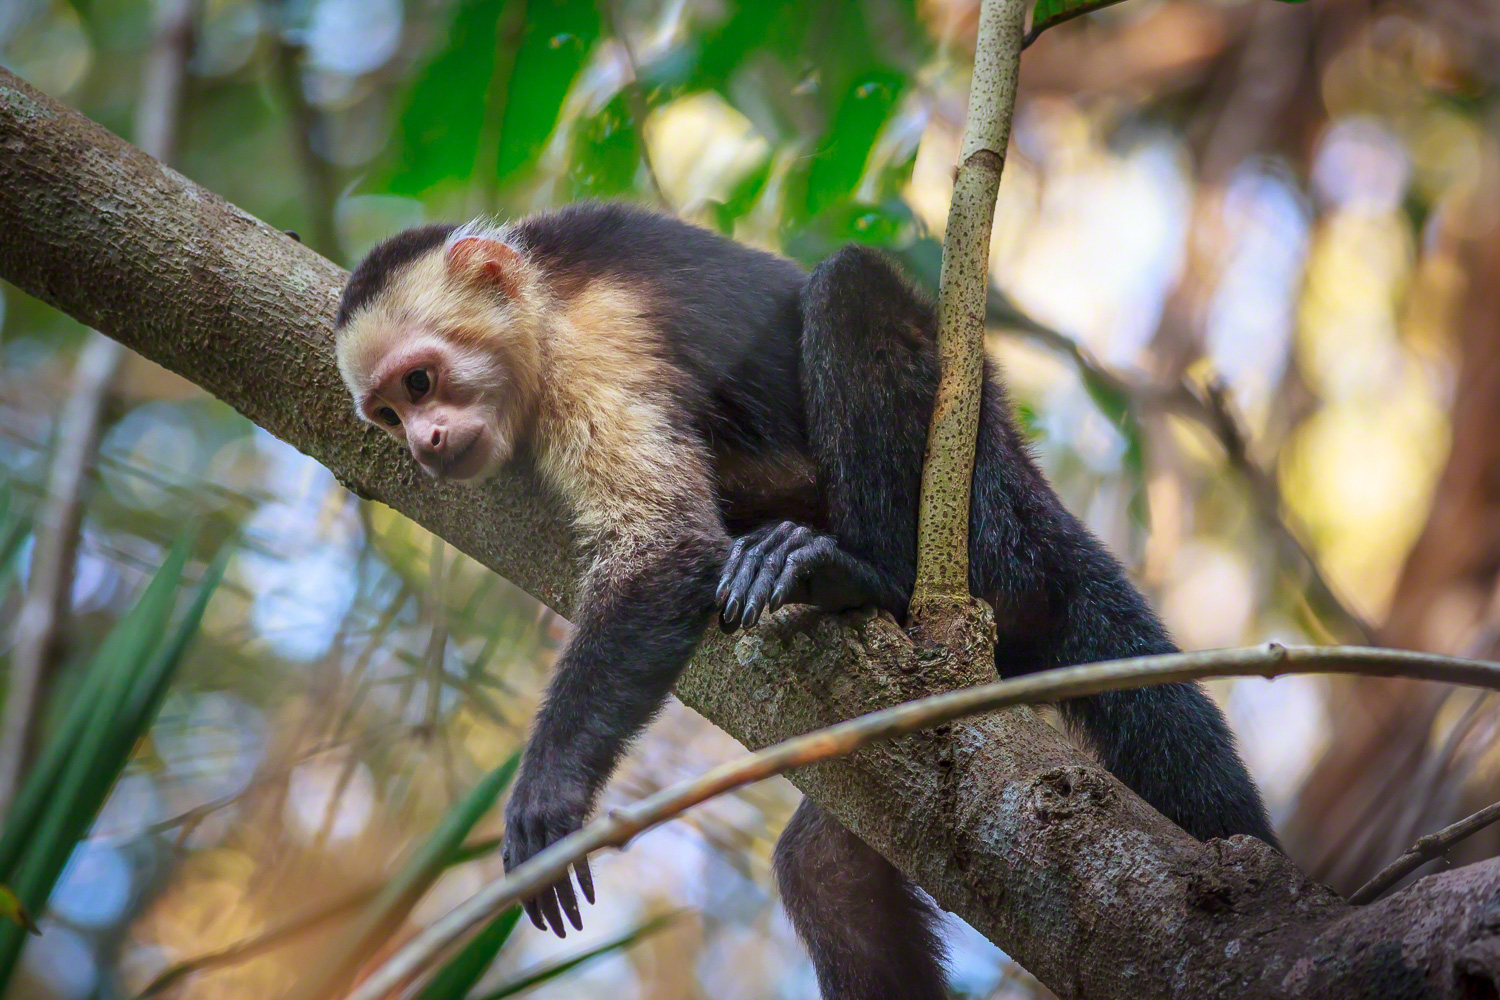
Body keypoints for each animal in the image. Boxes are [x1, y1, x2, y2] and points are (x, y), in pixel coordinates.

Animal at [334, 203, 1272, 1000]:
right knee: (826, 868)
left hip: (987, 513)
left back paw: (863, 571)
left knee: (848, 291)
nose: (424, 444)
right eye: (385, 412)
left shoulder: (595, 352)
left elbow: (668, 551)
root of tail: (1033, 492)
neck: (540, 307)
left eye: (421, 383)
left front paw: (550, 793)